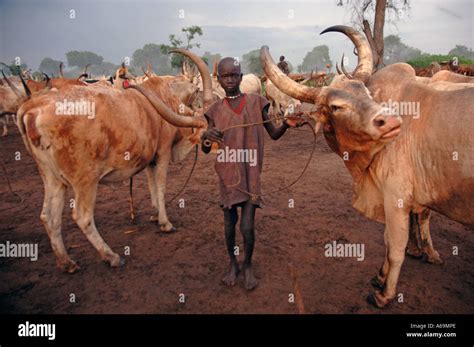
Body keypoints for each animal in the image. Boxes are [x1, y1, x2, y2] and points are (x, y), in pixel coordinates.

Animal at [262, 25, 474, 308]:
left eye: (366, 93)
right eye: (336, 106)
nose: (391, 121)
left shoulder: (396, 198)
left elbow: (395, 247)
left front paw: (385, 294)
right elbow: (390, 239)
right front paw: (381, 276)